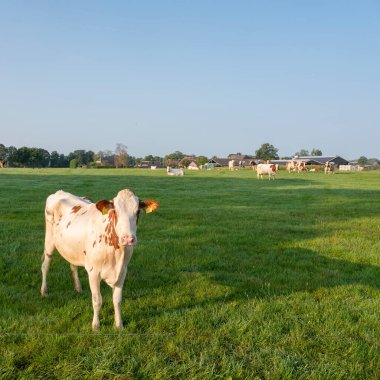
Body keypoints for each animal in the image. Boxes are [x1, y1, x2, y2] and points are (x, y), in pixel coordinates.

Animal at [41, 189, 159, 330]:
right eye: (115, 211)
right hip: (49, 241)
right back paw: (44, 291)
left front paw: (119, 325)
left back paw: (78, 288)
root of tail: (60, 192)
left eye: (137, 212)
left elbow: (117, 300)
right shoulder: (93, 272)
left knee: (73, 265)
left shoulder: (122, 271)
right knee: (45, 265)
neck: (117, 254)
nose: (128, 238)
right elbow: (97, 300)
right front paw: (96, 326)